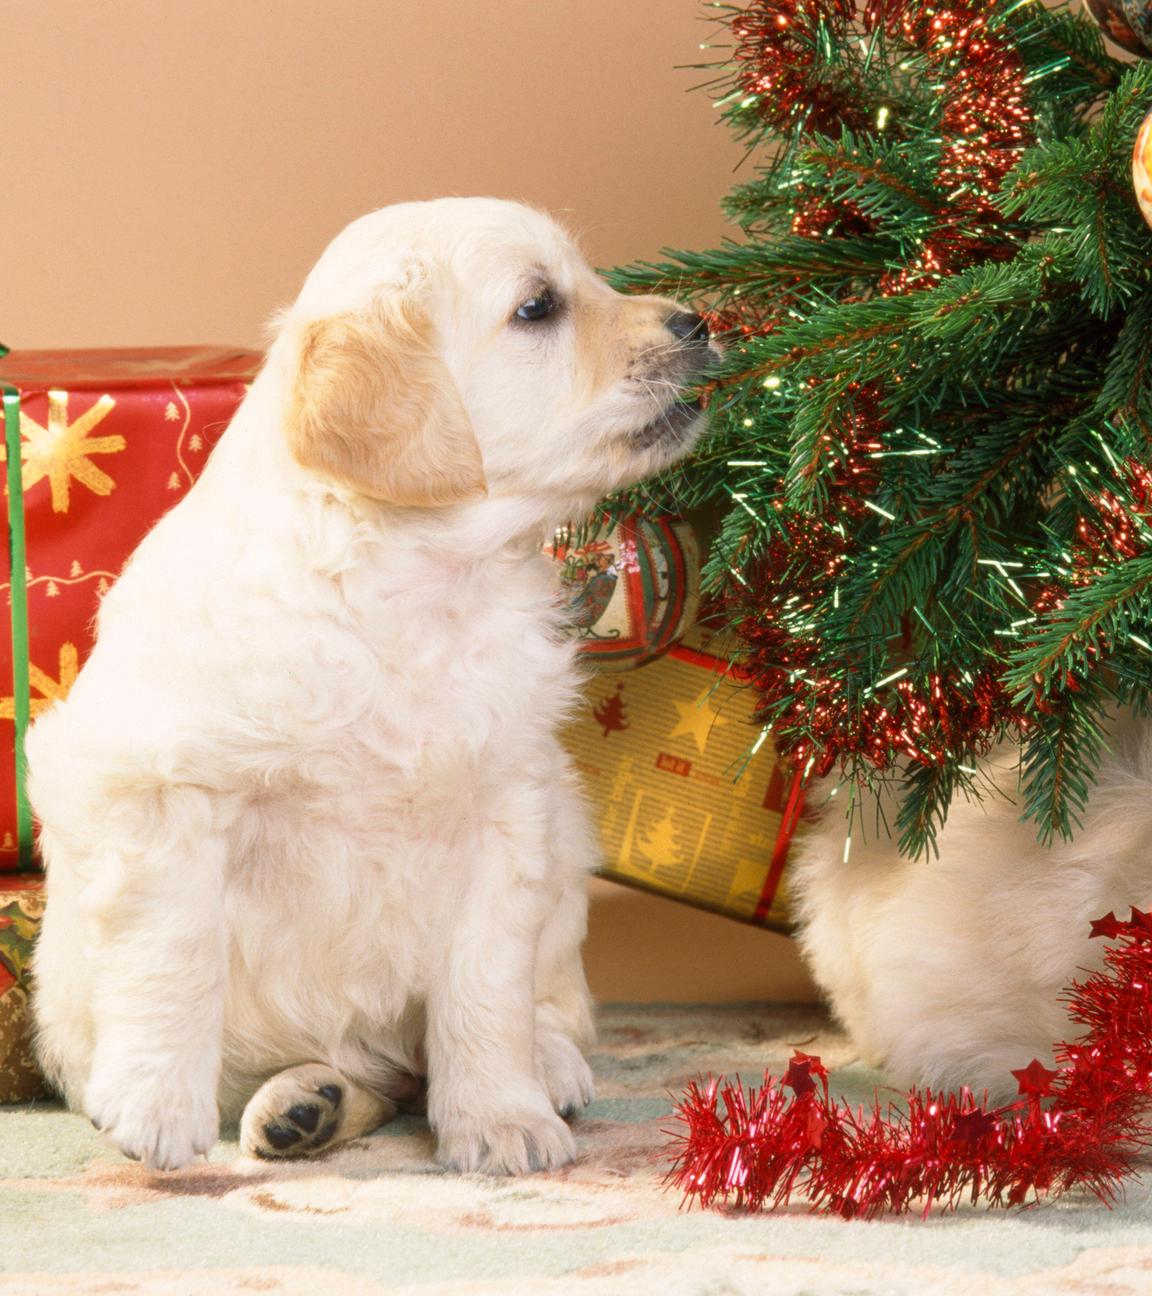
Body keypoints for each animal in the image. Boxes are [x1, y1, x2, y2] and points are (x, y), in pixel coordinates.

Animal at [29, 194, 720, 1176]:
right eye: (538, 307)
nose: (700, 322)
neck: (412, 588)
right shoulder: (159, 794)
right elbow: (175, 953)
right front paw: (156, 1105)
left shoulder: (505, 814)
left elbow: (488, 987)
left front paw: (499, 1118)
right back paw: (299, 1105)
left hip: (566, 840)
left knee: (540, 1006)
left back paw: (540, 1068)